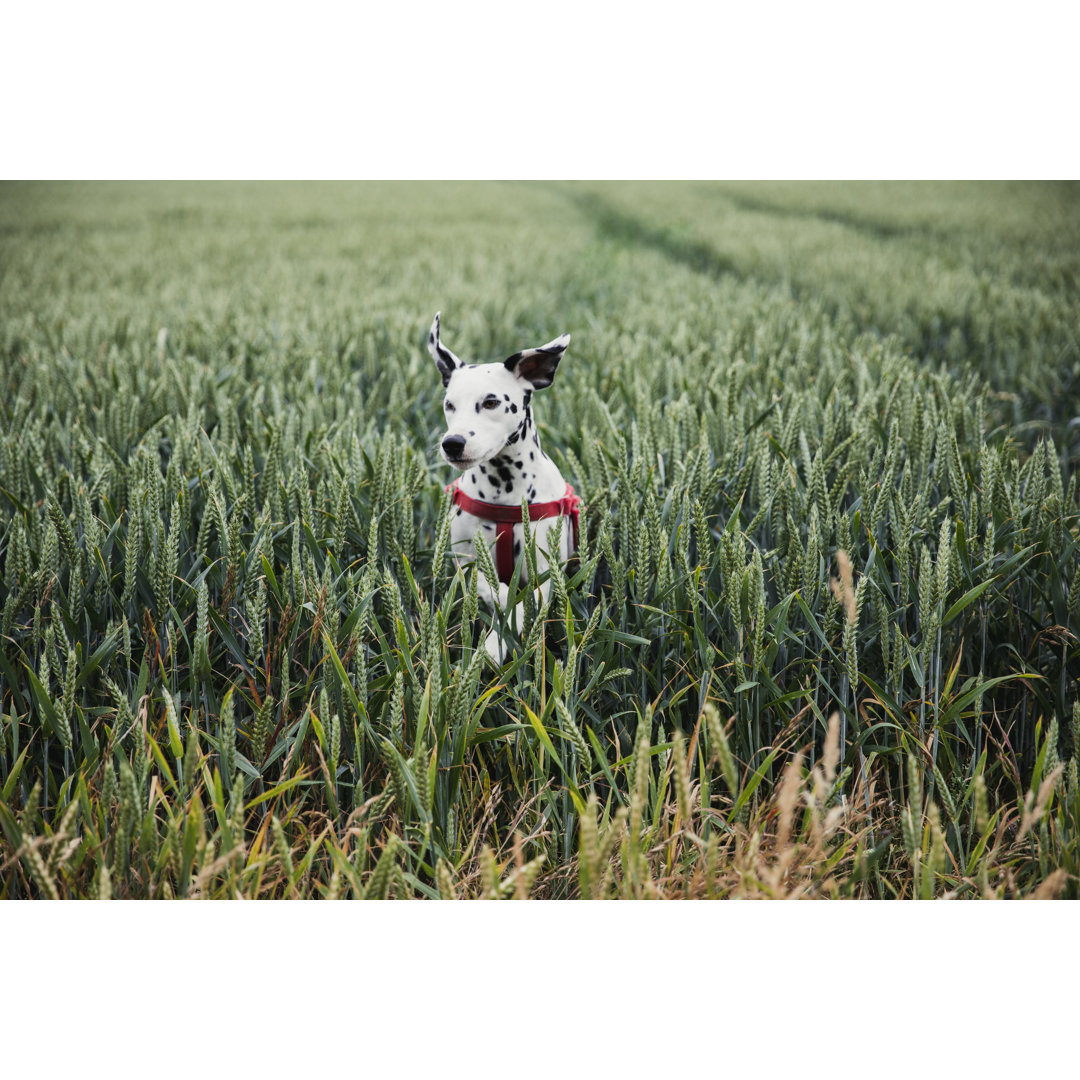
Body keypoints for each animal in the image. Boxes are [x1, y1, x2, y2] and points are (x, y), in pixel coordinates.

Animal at [429, 313, 583, 660]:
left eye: (490, 402)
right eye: (449, 404)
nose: (452, 443)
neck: (505, 488)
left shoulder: (546, 569)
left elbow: (528, 602)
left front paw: (495, 645)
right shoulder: (464, 562)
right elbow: (493, 589)